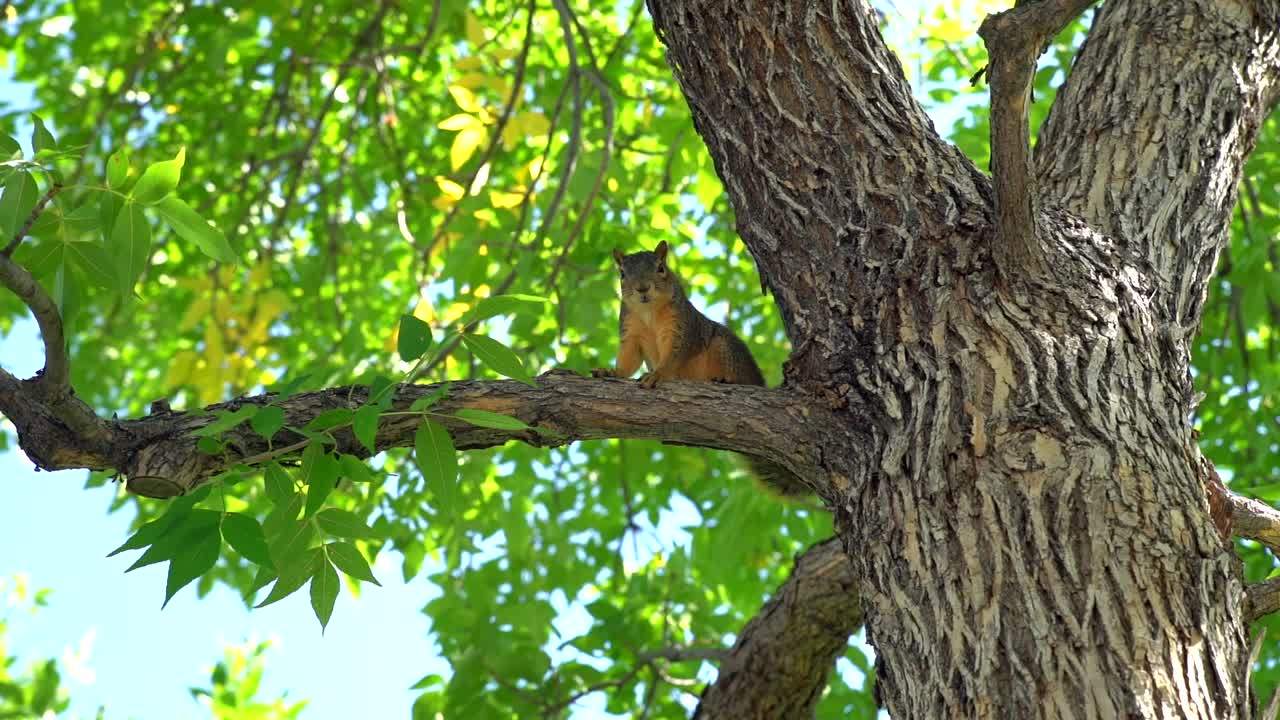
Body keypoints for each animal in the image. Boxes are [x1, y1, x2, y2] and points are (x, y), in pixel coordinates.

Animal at [591, 241, 808, 496]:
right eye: (622, 274)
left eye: (661, 268)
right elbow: (628, 361)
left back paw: (725, 380)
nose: (642, 288)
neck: (648, 311)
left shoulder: (682, 329)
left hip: (725, 348)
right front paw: (611, 372)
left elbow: (673, 357)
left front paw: (657, 374)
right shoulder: (630, 332)